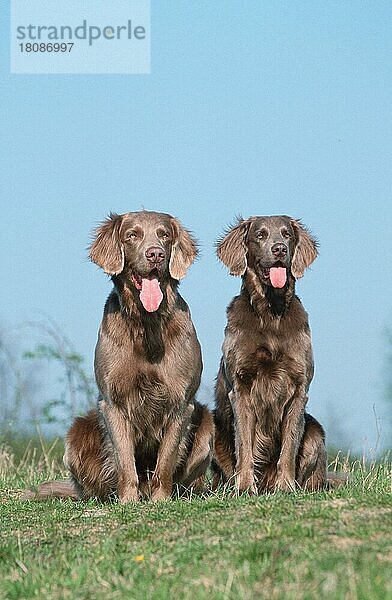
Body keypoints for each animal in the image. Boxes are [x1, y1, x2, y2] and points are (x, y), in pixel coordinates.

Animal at [32, 211, 213, 502]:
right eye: (132, 235)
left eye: (164, 234)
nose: (155, 254)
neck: (147, 323)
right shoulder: (113, 401)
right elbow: (125, 460)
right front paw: (128, 501)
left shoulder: (181, 402)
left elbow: (166, 460)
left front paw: (160, 500)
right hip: (77, 434)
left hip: (207, 423)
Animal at [213, 216, 326, 492]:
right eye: (260, 235)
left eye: (287, 235)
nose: (279, 250)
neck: (270, 313)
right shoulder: (241, 387)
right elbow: (245, 443)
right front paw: (244, 486)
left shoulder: (299, 388)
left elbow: (289, 445)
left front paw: (286, 486)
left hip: (316, 432)